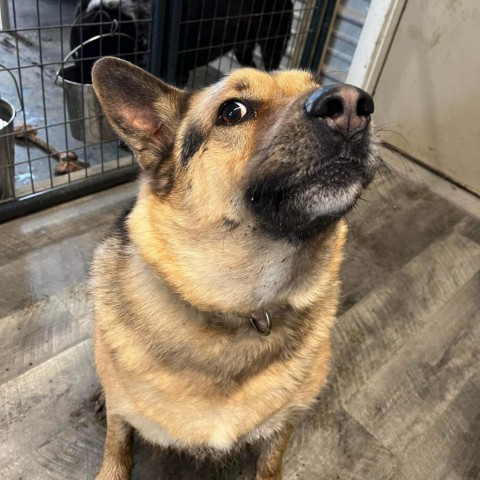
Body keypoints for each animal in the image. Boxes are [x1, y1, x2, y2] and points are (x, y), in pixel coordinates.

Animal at [92, 57, 380, 480]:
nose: (350, 105)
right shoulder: (122, 416)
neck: (241, 310)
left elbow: (271, 463)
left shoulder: (284, 424)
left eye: (315, 85)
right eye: (233, 111)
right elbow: (117, 446)